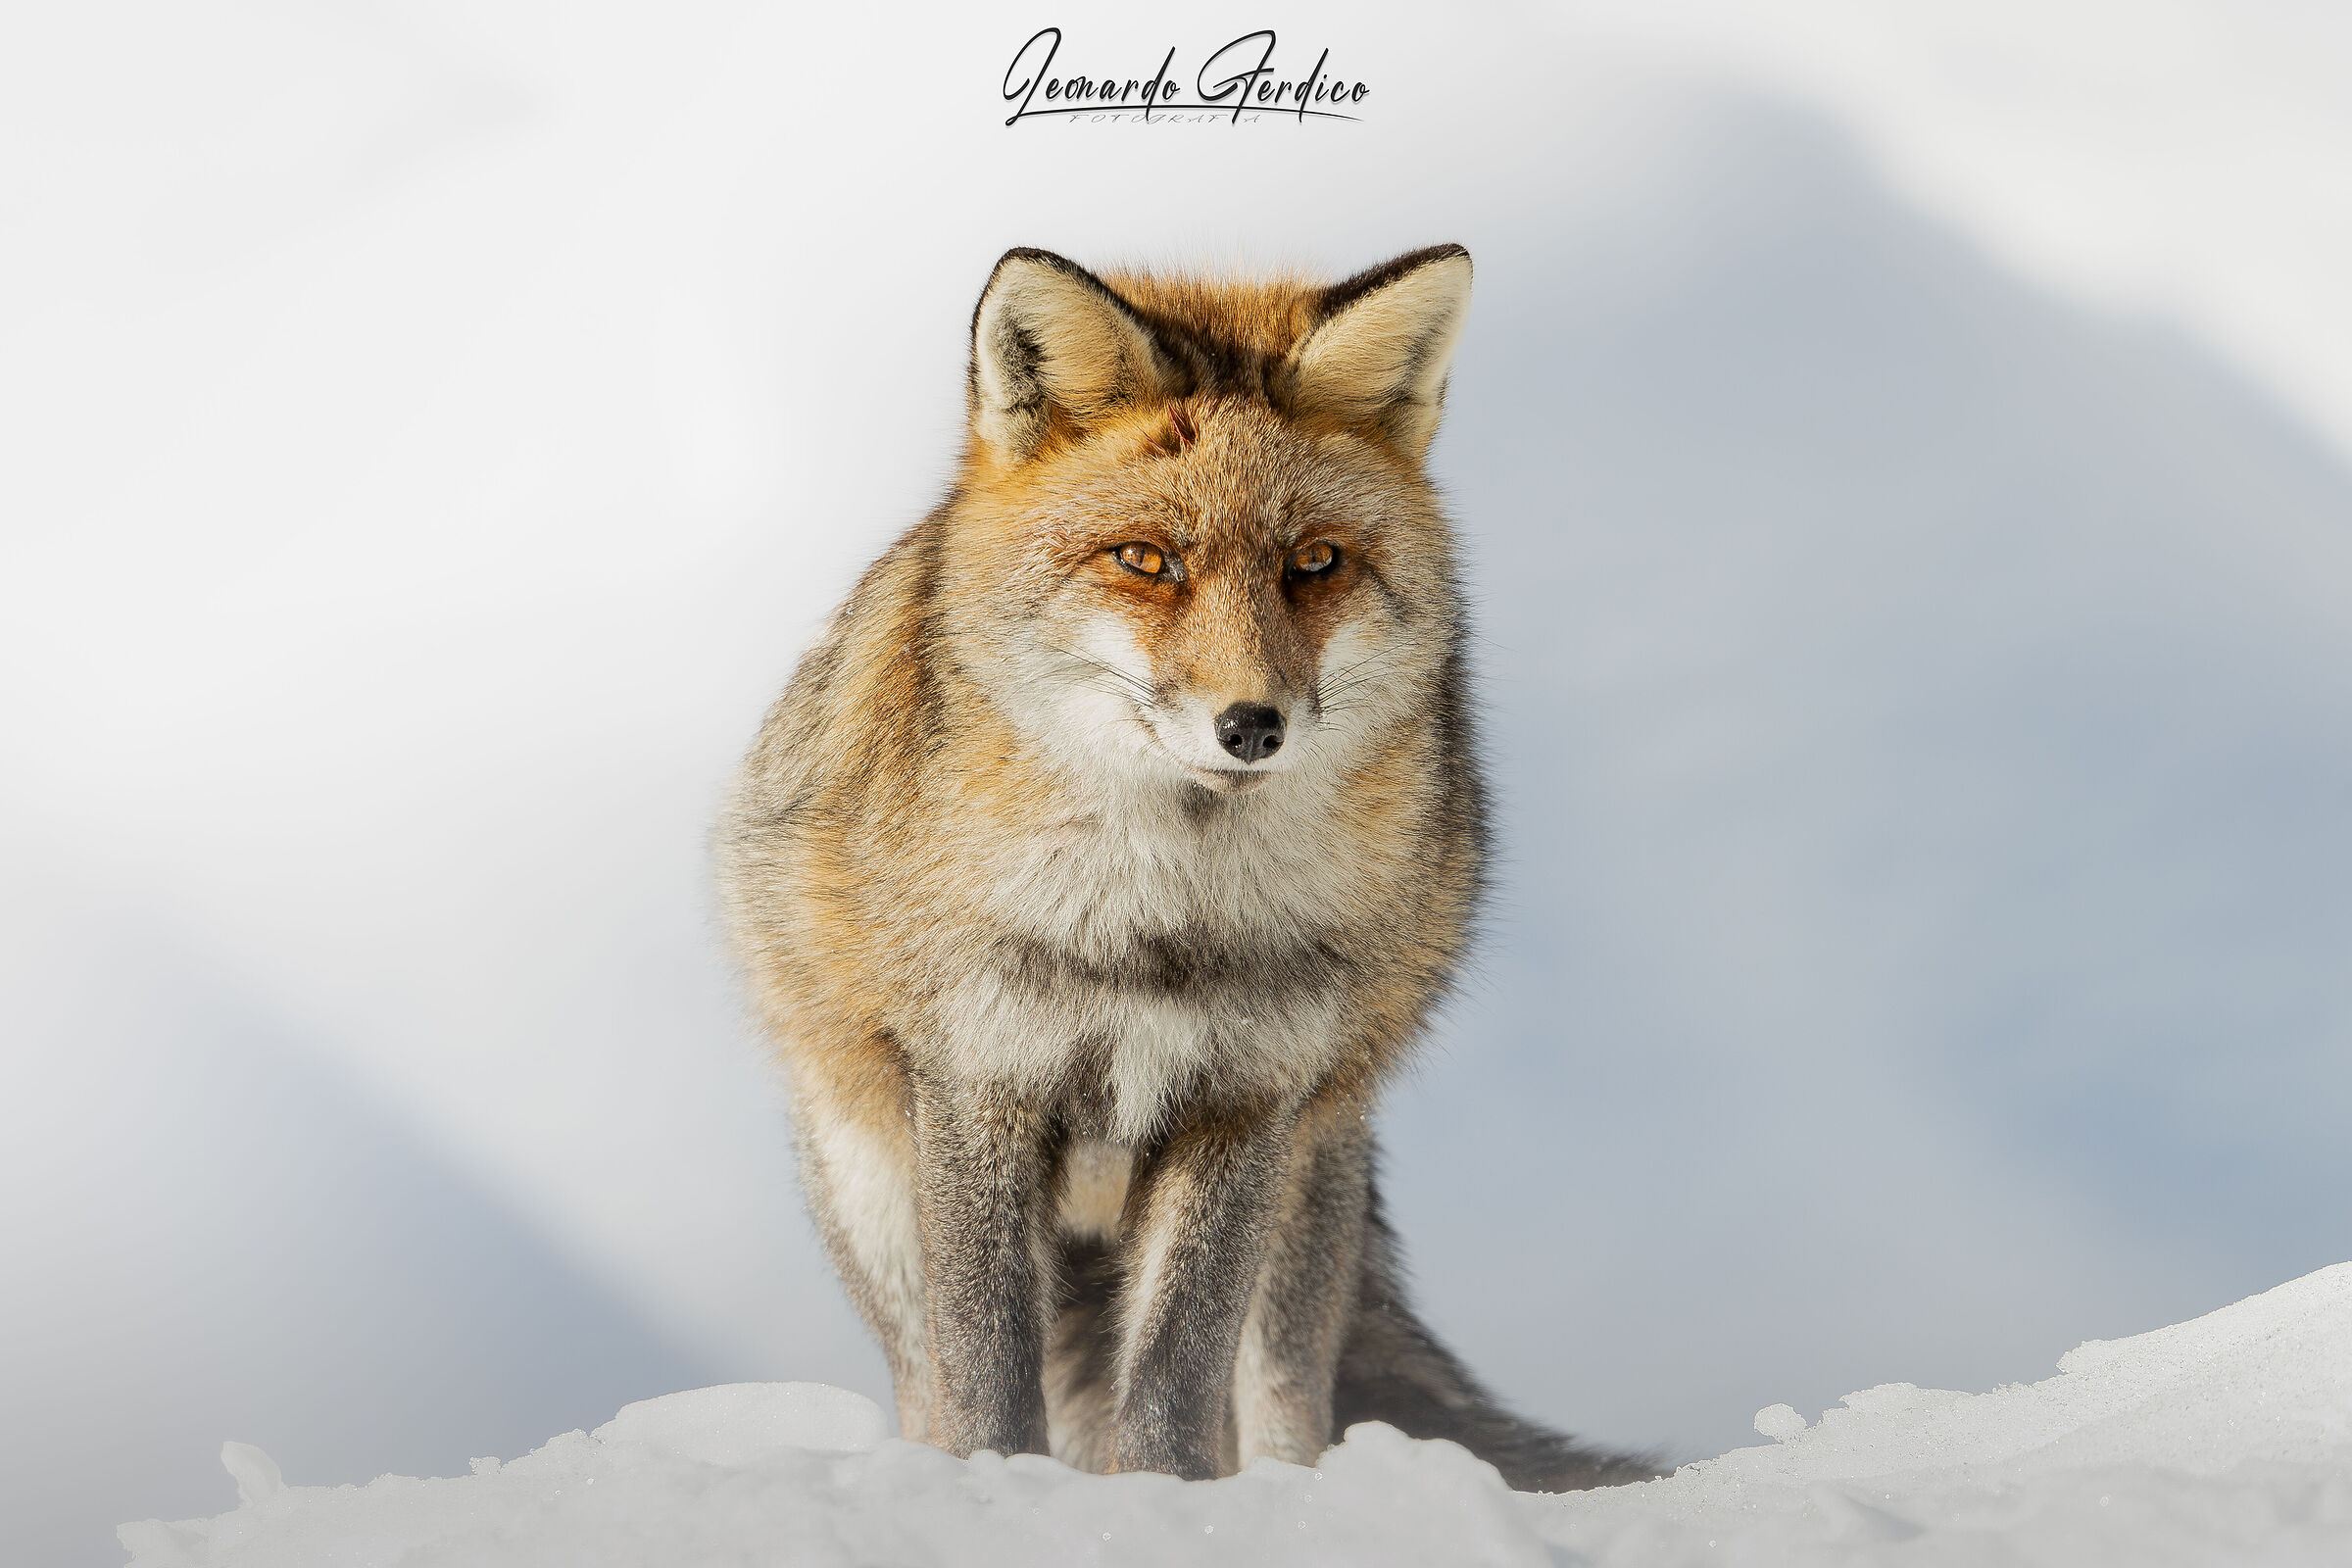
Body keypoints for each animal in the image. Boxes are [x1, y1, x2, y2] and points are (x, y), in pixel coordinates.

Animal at [715, 243, 1652, 1489]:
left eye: (1316, 563)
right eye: (1145, 560)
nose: (1251, 725)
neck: (1159, 923)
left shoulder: (1245, 1098)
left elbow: (1170, 1385)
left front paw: (1163, 1505)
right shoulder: (980, 1079)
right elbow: (991, 1378)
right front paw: (999, 1492)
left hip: (1308, 1192)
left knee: (1279, 1399)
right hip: (876, 1192)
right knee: (932, 1377)